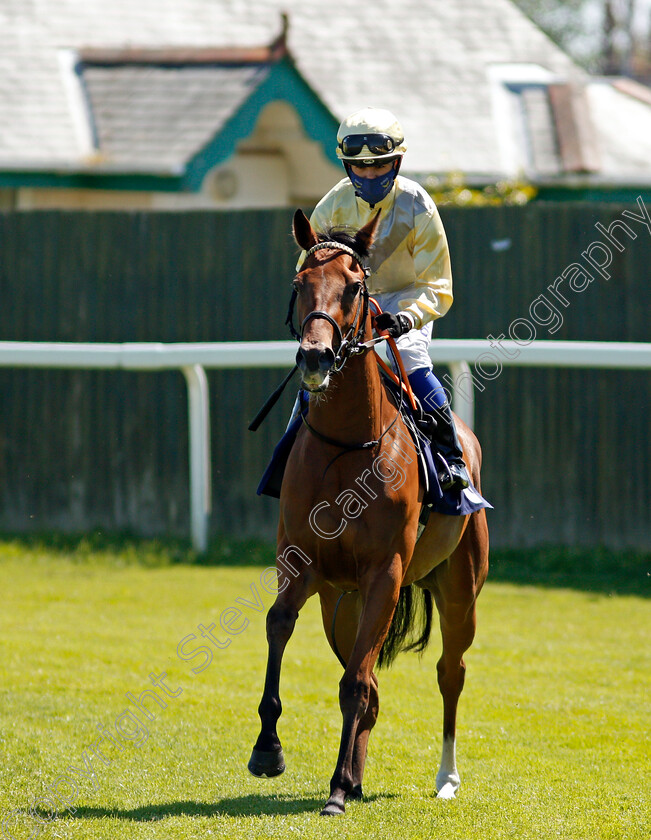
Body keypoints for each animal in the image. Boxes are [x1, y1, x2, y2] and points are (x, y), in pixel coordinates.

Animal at [250, 208, 488, 812]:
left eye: (354, 287)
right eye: (299, 284)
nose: (315, 356)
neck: (347, 444)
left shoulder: (385, 572)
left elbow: (356, 684)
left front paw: (336, 786)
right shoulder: (302, 563)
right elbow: (279, 625)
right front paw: (268, 750)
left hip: (459, 588)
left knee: (450, 672)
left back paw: (443, 777)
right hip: (342, 606)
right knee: (370, 680)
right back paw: (356, 776)